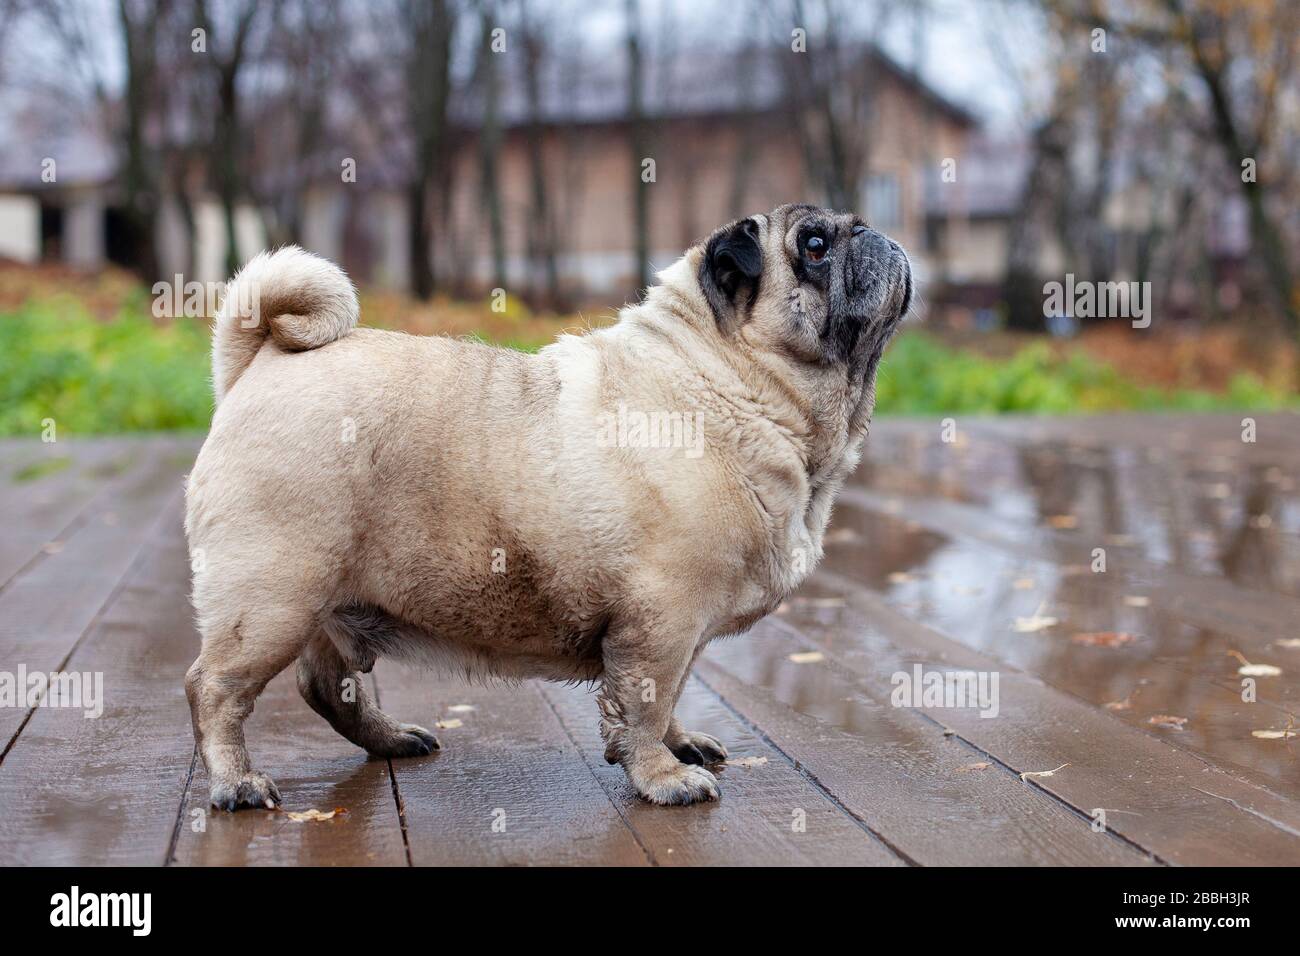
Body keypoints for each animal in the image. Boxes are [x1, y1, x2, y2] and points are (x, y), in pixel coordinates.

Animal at [185, 201, 915, 806]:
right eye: (814, 244)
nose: (874, 232)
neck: (728, 380)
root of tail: (256, 364)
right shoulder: (662, 618)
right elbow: (645, 703)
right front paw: (662, 776)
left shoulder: (678, 631)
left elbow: (672, 694)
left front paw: (679, 745)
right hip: (273, 597)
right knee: (214, 689)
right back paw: (236, 783)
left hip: (322, 600)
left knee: (327, 688)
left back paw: (391, 738)